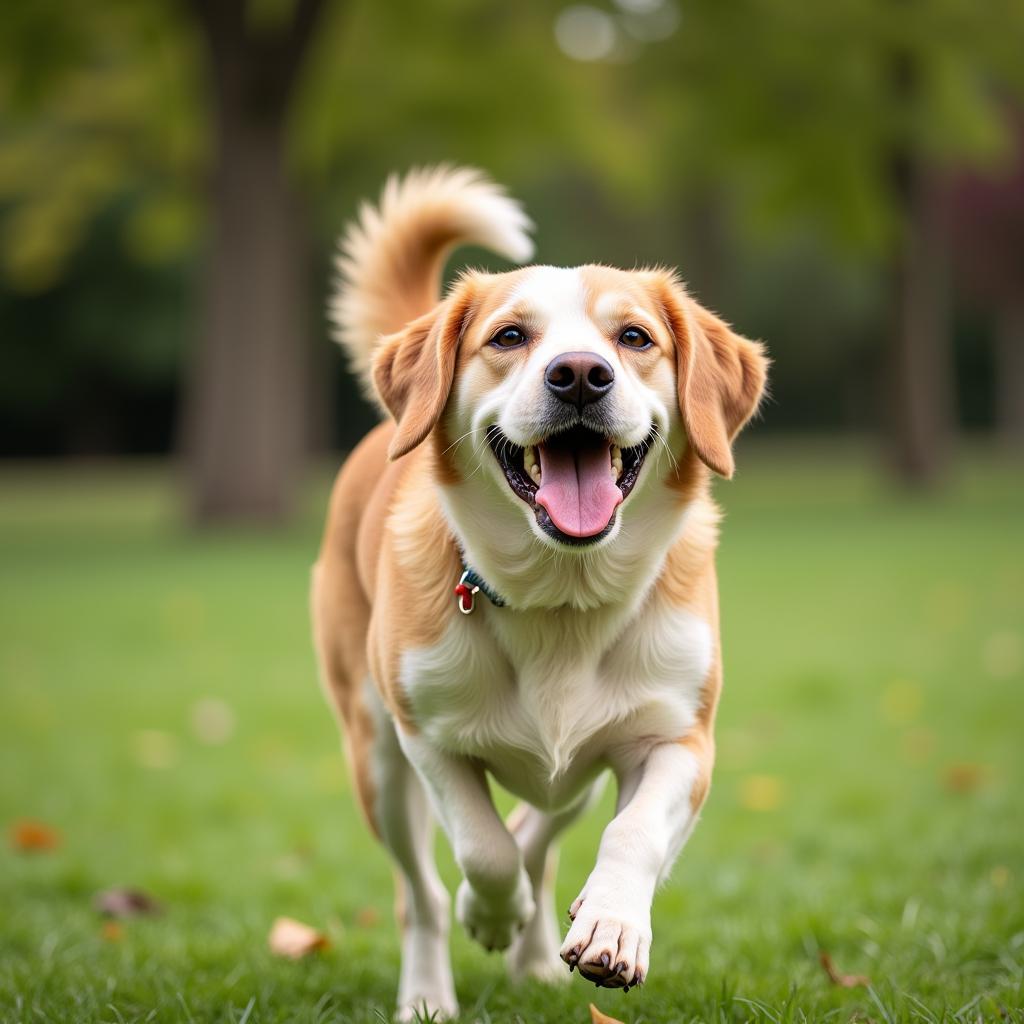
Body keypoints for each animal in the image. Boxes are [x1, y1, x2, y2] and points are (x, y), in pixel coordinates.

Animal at [311, 165, 770, 1015]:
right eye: (509, 337)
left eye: (634, 338)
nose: (580, 374)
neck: (564, 601)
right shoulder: (426, 736)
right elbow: (482, 849)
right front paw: (491, 914)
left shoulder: (681, 739)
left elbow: (628, 834)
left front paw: (611, 926)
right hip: (375, 757)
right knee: (421, 893)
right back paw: (431, 990)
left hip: (581, 772)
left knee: (544, 827)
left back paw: (535, 956)